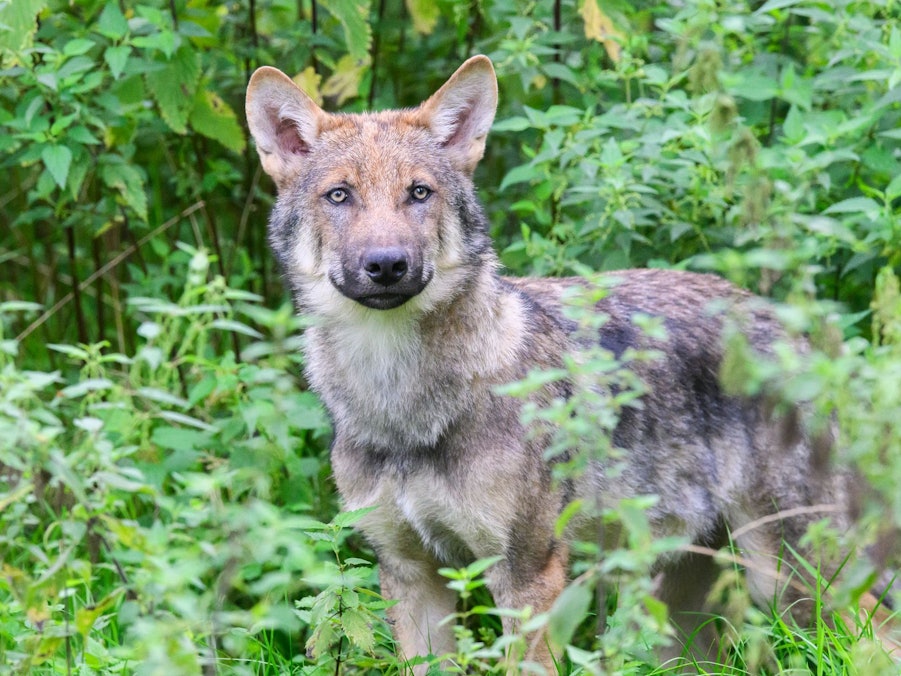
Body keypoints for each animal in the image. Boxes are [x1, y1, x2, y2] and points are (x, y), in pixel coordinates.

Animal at [245, 56, 891, 671]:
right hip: (681, 617)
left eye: (419, 193)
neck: (401, 404)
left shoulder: (528, 575)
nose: (386, 264)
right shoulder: (410, 574)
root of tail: (796, 329)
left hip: (792, 581)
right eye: (340, 195)